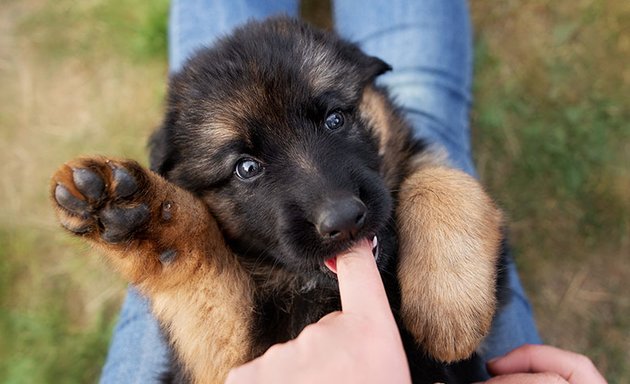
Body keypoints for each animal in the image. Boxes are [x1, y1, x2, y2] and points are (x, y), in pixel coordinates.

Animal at [49, 16, 506, 382]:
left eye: (335, 119)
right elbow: (205, 275)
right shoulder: (226, 358)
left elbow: (437, 178)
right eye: (246, 168)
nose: (344, 218)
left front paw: (447, 306)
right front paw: (138, 216)